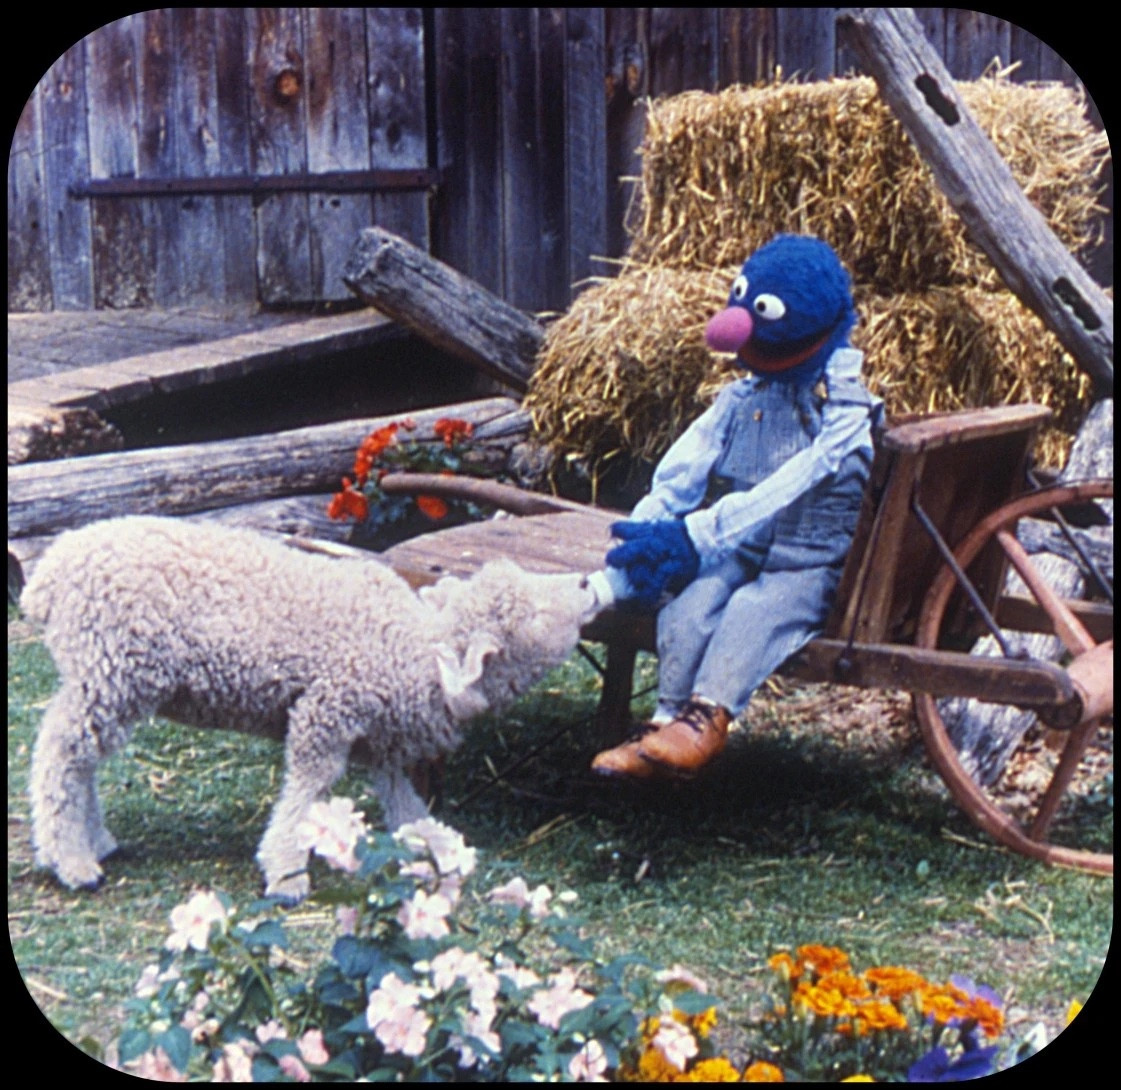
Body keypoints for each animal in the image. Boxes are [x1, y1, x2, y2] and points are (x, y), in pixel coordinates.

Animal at [17, 515, 609, 897]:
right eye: (532, 615)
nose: (586, 581)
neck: (414, 648)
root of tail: (48, 574)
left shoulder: (380, 735)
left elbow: (401, 798)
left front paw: (437, 842)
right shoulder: (327, 710)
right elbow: (310, 786)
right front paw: (285, 869)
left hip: (106, 678)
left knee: (81, 757)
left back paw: (93, 841)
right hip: (112, 668)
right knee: (60, 752)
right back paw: (69, 859)